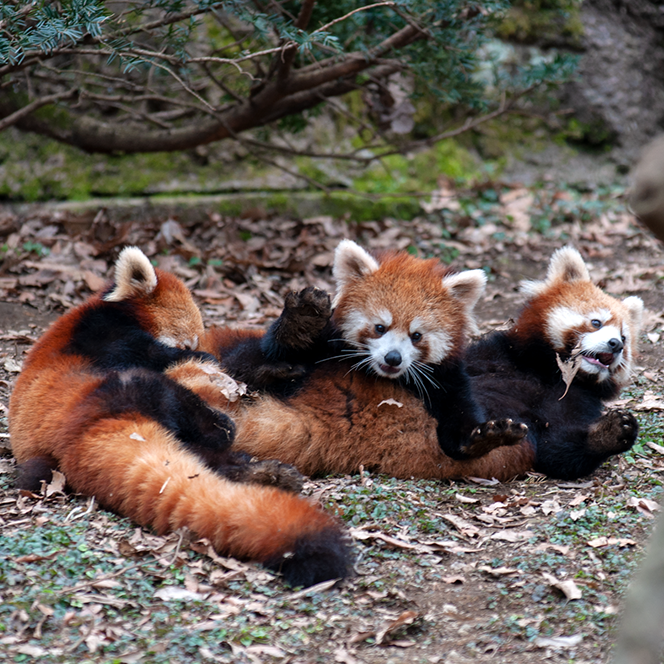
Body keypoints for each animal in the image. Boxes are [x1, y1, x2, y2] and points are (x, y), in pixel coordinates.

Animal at [9, 245, 352, 588]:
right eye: (187, 340)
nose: (196, 348)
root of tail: (70, 440)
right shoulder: (99, 333)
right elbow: (159, 355)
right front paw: (206, 358)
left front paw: (288, 345)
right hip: (106, 392)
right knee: (161, 393)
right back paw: (220, 427)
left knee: (202, 454)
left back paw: (263, 473)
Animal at [205, 241, 532, 480]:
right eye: (379, 327)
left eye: (416, 335)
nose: (393, 358)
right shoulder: (327, 345)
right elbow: (276, 349)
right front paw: (301, 324)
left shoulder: (446, 380)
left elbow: (458, 427)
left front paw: (485, 437)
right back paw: (275, 366)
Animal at [466, 246, 644, 480]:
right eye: (596, 322)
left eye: (624, 337)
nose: (616, 344)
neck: (549, 370)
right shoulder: (491, 354)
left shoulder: (578, 398)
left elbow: (556, 451)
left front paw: (610, 433)